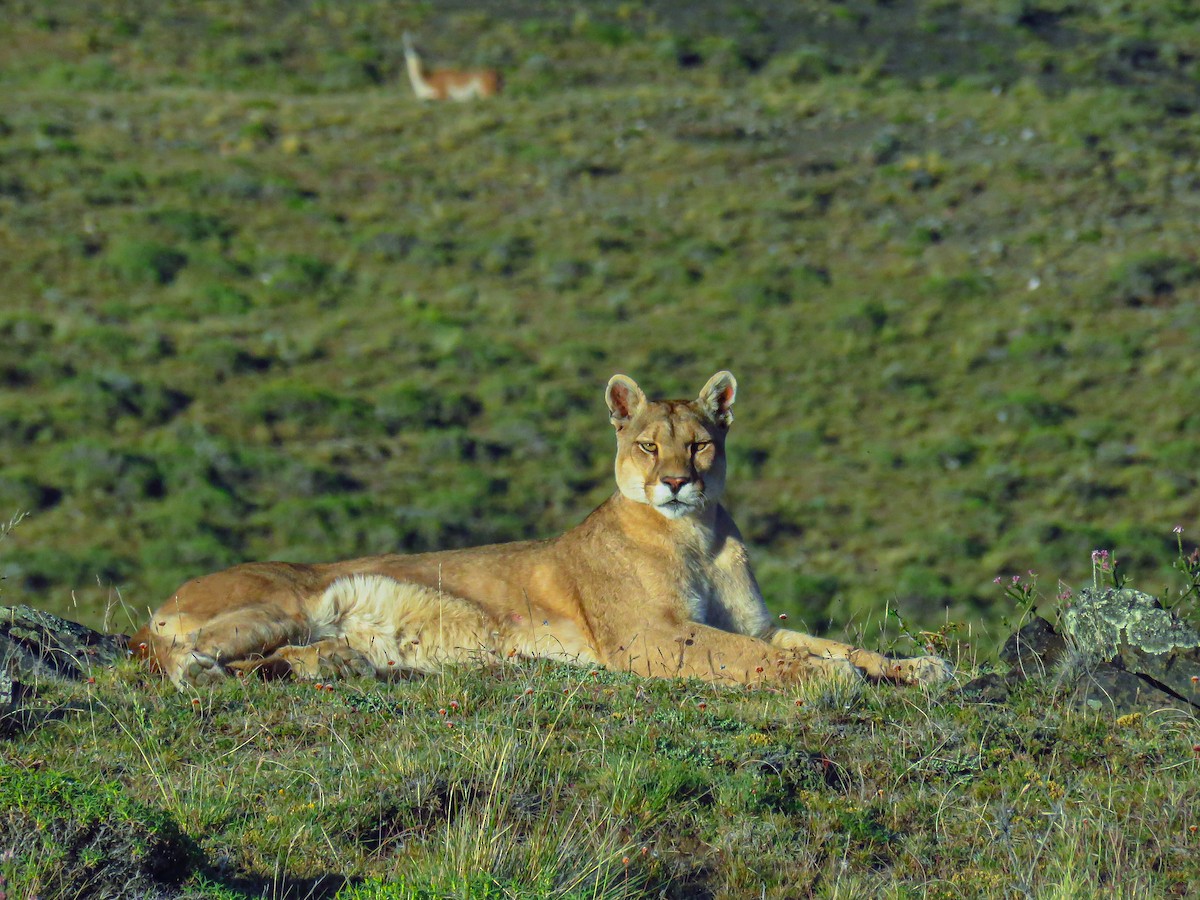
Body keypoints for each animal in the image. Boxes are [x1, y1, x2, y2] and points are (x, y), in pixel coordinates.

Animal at [132, 372, 952, 689]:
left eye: (700, 443)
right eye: (647, 444)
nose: (677, 481)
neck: (698, 534)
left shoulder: (755, 622)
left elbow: (827, 642)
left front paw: (915, 666)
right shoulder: (649, 637)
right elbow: (760, 659)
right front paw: (828, 679)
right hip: (281, 603)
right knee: (173, 655)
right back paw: (204, 670)